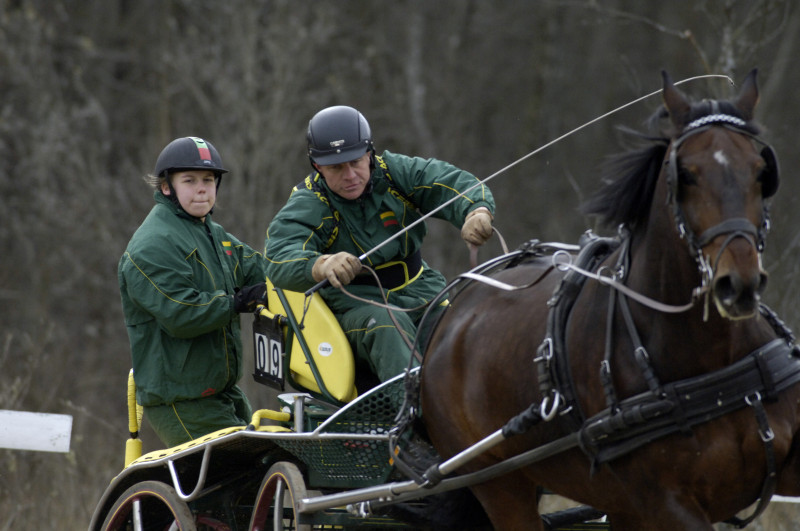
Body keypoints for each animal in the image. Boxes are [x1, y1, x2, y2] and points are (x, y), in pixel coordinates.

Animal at [418, 70, 800, 531]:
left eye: (762, 171)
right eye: (686, 175)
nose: (737, 284)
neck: (712, 358)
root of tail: (447, 317)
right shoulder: (666, 503)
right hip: (498, 485)